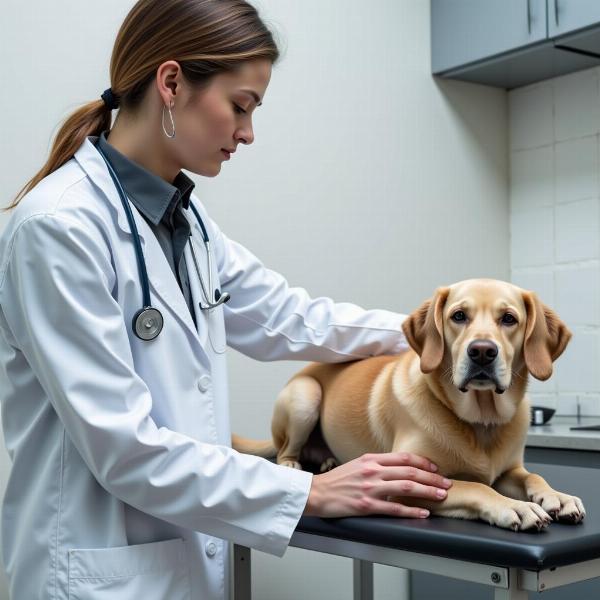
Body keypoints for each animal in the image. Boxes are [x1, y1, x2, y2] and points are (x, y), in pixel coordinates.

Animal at [234, 278, 584, 532]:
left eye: (509, 319)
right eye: (459, 316)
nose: (482, 352)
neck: (479, 422)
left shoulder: (510, 471)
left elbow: (532, 477)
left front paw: (557, 497)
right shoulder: (410, 482)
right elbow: (477, 488)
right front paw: (515, 506)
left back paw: (329, 460)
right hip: (305, 396)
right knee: (285, 450)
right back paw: (294, 465)